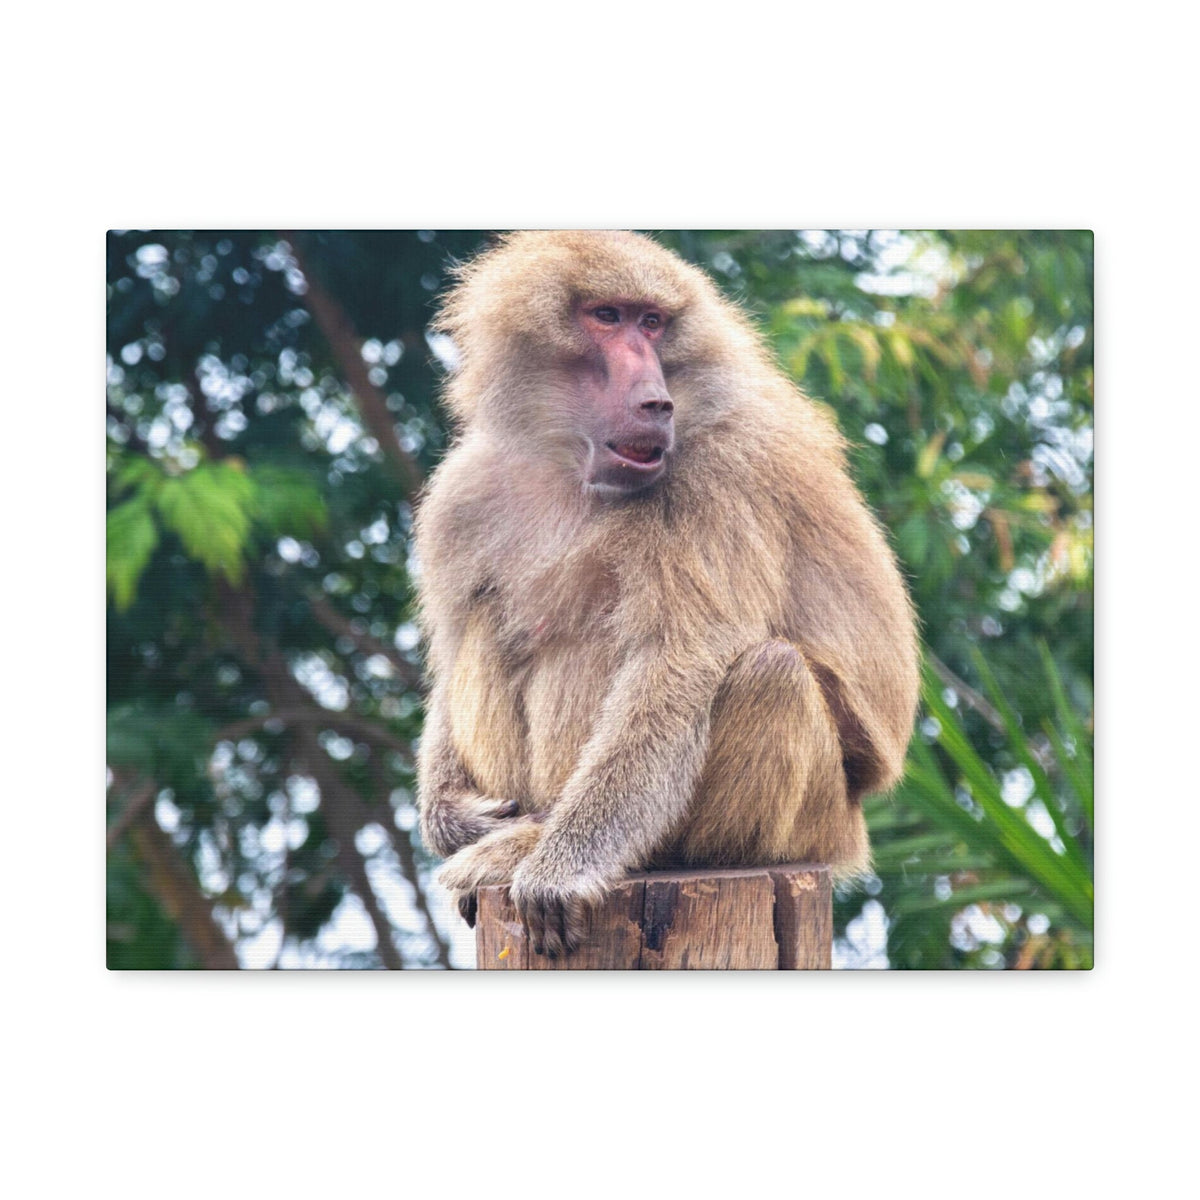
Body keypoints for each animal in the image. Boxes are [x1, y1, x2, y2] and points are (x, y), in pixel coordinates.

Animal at [414, 230, 919, 958]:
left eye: (652, 323)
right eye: (607, 316)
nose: (655, 401)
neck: (570, 464)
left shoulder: (718, 478)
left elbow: (673, 666)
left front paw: (560, 870)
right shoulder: (463, 493)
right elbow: (452, 653)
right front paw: (451, 816)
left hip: (813, 824)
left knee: (769, 671)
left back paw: (566, 850)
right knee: (490, 622)